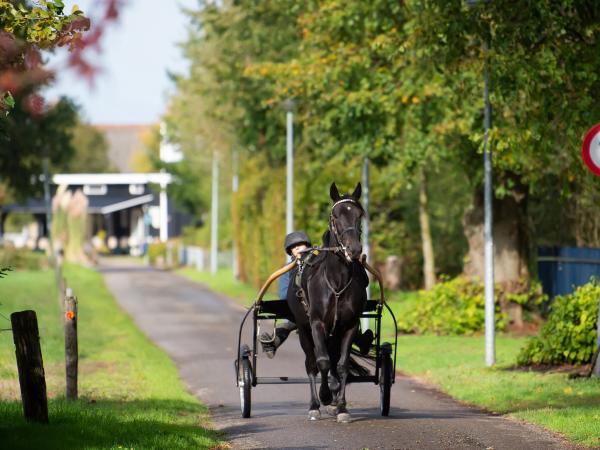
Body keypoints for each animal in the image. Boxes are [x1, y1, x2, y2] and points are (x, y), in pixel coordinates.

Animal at [288, 182, 368, 422]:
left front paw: (341, 407)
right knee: (311, 363)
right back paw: (315, 403)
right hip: (304, 329)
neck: (336, 281)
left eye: (359, 214)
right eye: (335, 216)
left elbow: (341, 365)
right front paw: (323, 397)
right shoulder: (316, 324)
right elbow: (321, 361)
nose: (354, 249)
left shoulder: (349, 325)